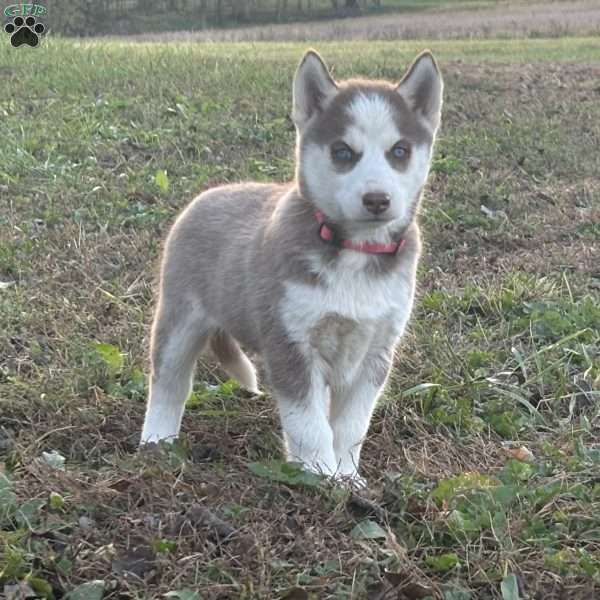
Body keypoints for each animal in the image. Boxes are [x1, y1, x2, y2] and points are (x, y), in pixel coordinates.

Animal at [141, 49, 440, 486]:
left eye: (399, 151)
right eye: (342, 152)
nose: (377, 199)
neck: (353, 250)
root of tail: (207, 195)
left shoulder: (376, 351)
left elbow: (351, 425)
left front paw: (347, 477)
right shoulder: (291, 343)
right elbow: (309, 423)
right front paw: (319, 475)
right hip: (180, 319)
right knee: (168, 382)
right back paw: (156, 441)